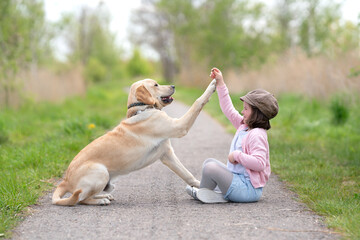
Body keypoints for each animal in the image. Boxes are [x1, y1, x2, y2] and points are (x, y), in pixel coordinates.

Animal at [52, 78, 217, 205]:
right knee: (80, 199)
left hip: (108, 183)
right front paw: (213, 84)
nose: (173, 86)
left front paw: (201, 187)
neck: (143, 108)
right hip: (101, 172)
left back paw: (104, 196)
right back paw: (100, 201)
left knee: (85, 195)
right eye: (156, 85)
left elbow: (187, 175)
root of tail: (65, 180)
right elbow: (197, 102)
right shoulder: (180, 126)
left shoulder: (167, 155)